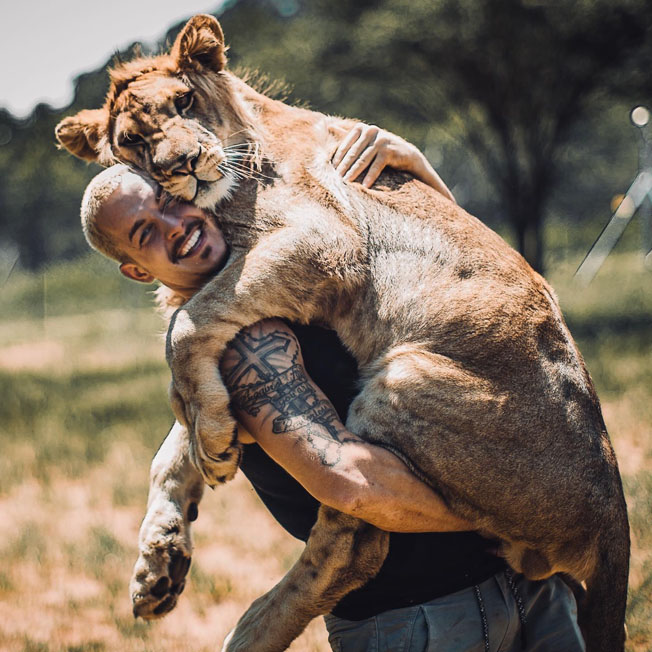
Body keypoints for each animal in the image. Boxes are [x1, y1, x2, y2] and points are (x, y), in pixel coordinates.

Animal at [54, 14, 628, 652]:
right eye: (131, 142)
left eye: (183, 101)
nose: (182, 164)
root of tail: (611, 517)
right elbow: (174, 441)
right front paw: (161, 558)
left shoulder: (326, 240)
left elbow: (185, 328)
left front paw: (205, 438)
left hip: (399, 380)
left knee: (358, 540)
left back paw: (253, 630)